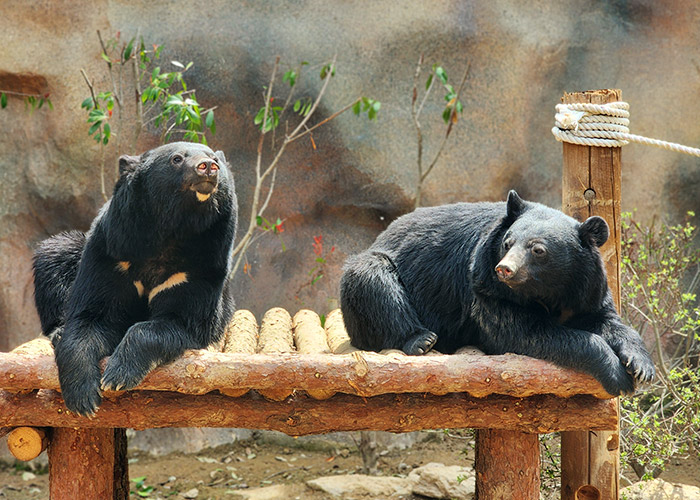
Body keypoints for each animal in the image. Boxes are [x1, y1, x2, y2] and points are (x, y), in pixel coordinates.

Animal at [32, 142, 238, 416]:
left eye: (214, 158)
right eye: (177, 159)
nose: (208, 167)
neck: (173, 228)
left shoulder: (202, 267)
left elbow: (183, 319)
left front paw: (118, 375)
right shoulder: (113, 253)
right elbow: (92, 316)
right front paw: (82, 398)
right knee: (55, 254)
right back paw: (58, 331)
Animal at [340, 190, 655, 396]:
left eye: (538, 250)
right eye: (507, 242)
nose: (504, 269)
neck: (546, 290)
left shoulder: (588, 289)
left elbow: (608, 320)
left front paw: (641, 366)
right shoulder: (485, 289)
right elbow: (522, 332)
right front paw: (616, 375)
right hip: (369, 281)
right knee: (372, 279)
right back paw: (421, 339)